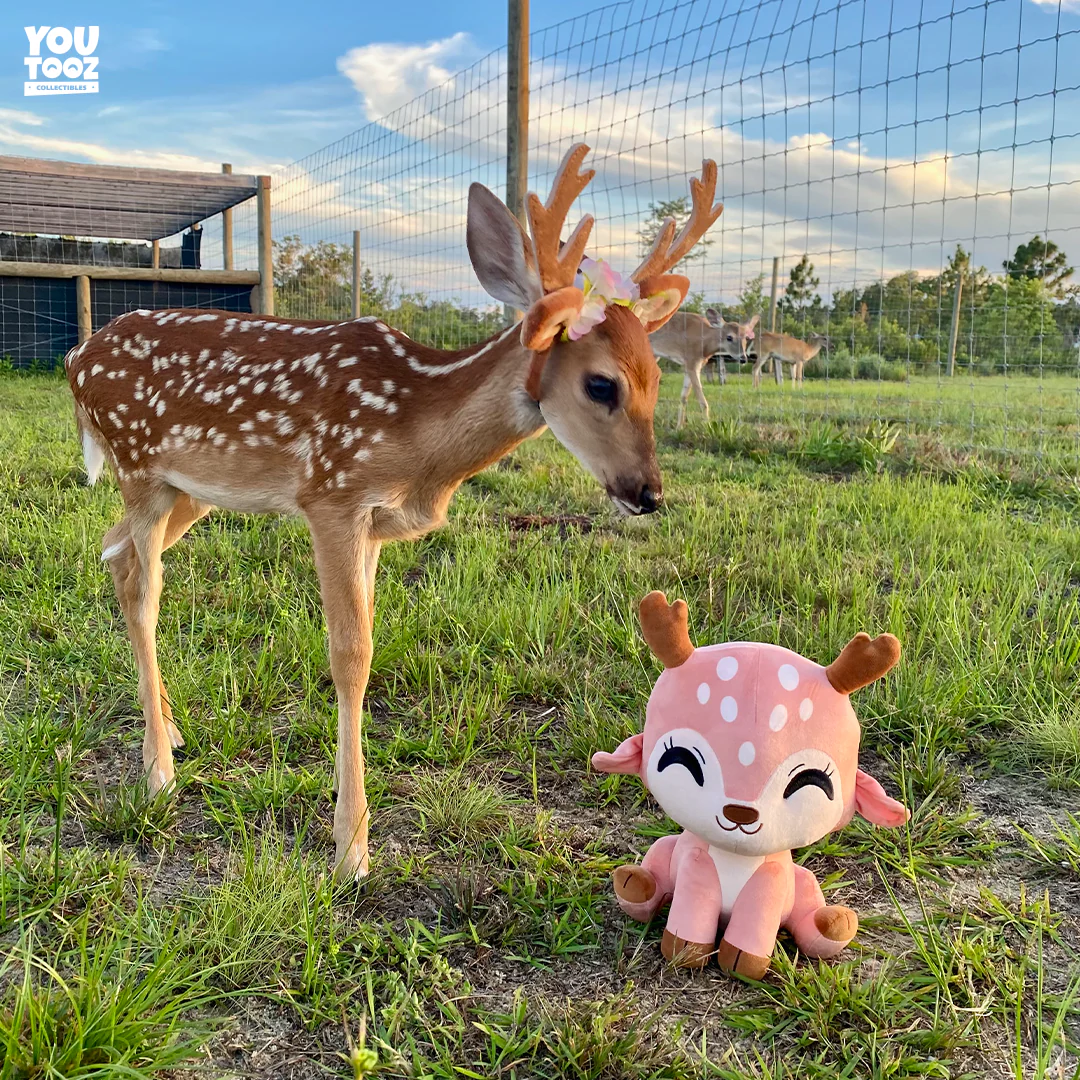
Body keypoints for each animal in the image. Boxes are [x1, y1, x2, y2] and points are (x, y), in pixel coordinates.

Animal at [64, 144, 723, 881]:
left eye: (658, 378)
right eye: (601, 384)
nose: (648, 493)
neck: (419, 443)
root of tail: (74, 356)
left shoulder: (374, 526)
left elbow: (369, 643)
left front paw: (346, 823)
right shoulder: (331, 496)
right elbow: (350, 655)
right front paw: (351, 847)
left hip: (190, 492)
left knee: (115, 551)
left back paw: (171, 729)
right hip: (140, 468)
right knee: (142, 588)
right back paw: (158, 770)